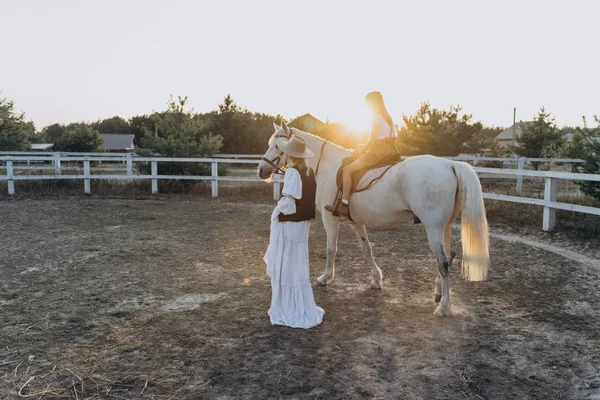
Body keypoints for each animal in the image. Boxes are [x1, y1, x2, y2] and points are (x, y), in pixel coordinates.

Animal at [256, 122, 488, 316]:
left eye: (277, 146)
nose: (261, 170)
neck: (328, 165)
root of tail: (450, 165)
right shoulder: (356, 222)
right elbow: (366, 249)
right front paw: (376, 280)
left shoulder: (330, 220)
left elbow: (331, 249)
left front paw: (325, 278)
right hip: (445, 227)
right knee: (450, 255)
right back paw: (438, 293)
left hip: (433, 228)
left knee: (443, 262)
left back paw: (444, 307)